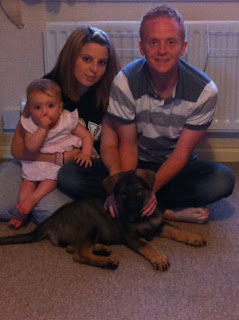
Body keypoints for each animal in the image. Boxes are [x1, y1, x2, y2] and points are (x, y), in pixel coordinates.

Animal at [0, 169, 206, 272]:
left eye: (139, 190)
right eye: (123, 194)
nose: (131, 213)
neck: (142, 217)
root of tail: (49, 221)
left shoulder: (159, 225)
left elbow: (177, 230)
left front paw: (194, 237)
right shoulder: (131, 237)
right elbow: (149, 246)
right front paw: (159, 258)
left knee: (72, 247)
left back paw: (101, 249)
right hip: (88, 223)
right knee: (79, 254)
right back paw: (106, 261)